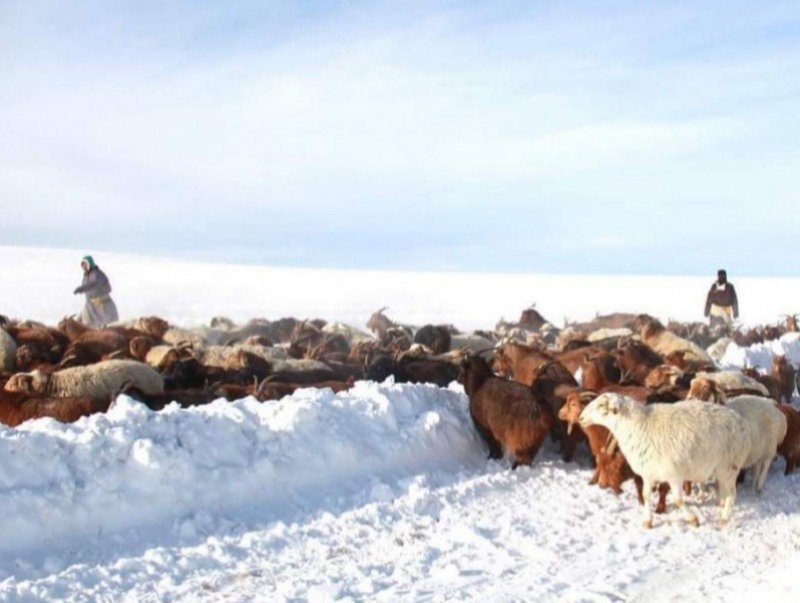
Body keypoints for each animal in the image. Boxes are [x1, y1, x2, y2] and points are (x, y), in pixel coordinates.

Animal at [580, 392, 752, 528]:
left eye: (601, 405)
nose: (581, 417)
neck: (638, 426)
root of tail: (741, 422)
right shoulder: (649, 473)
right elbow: (646, 495)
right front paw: (648, 521)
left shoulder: (675, 475)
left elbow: (677, 499)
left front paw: (693, 519)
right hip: (722, 469)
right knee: (724, 490)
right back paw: (721, 506)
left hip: (729, 466)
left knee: (732, 493)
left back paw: (724, 518)